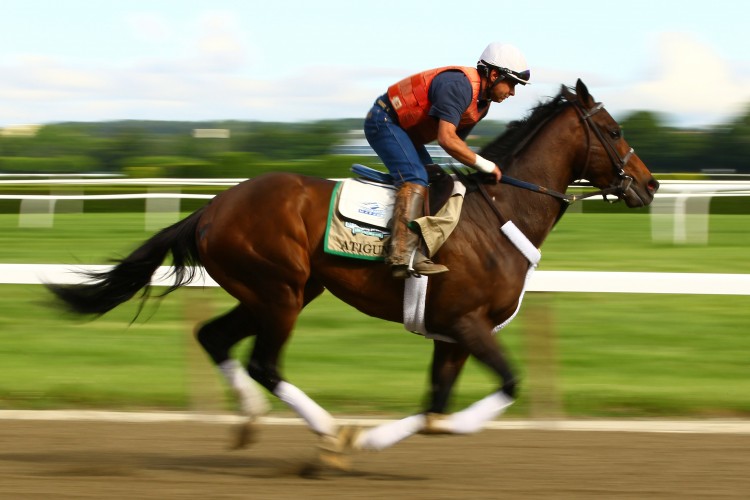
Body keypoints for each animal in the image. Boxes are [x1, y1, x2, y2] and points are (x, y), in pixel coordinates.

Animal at [47, 78, 656, 464]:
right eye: (614, 130)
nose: (649, 185)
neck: (500, 212)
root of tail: (212, 207)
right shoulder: (468, 323)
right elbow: (501, 387)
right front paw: (387, 437)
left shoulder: (452, 334)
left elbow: (432, 404)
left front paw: (383, 439)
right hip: (279, 292)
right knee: (264, 363)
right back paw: (327, 432)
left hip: (279, 292)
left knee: (213, 336)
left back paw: (250, 420)